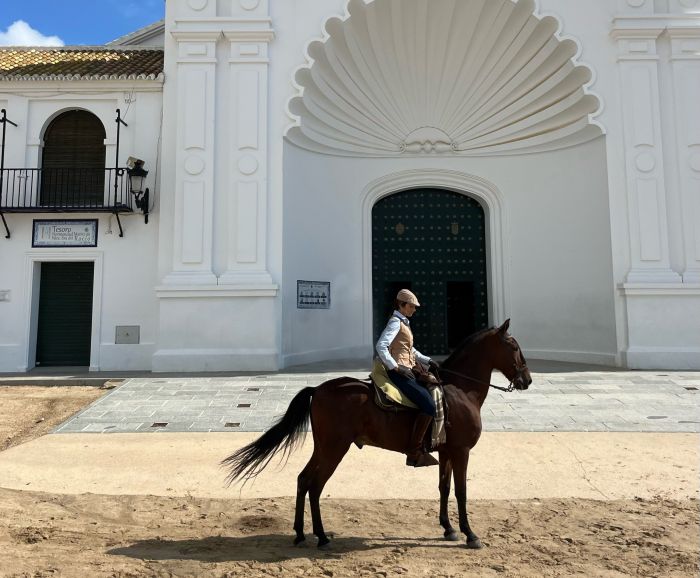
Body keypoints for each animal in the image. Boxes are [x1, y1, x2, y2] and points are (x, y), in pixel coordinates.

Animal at [223, 318, 532, 548]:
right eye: (514, 346)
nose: (527, 380)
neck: (460, 390)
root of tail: (318, 389)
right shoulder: (461, 451)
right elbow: (461, 491)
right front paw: (470, 534)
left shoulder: (446, 450)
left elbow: (444, 488)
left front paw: (448, 528)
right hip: (335, 447)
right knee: (315, 484)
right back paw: (321, 536)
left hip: (323, 447)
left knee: (303, 479)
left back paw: (301, 533)